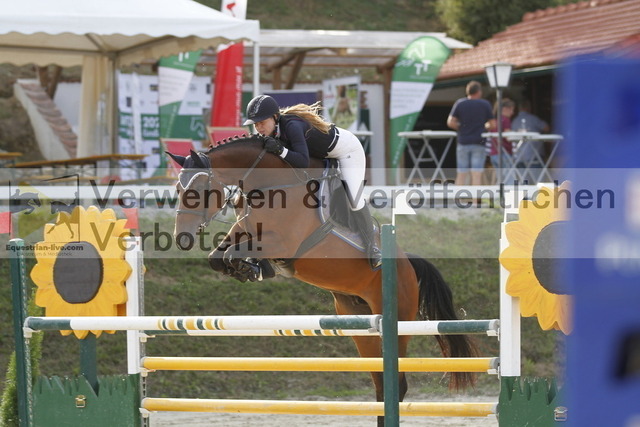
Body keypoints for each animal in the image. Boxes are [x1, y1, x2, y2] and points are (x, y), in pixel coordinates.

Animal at [169, 134, 477, 426]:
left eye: (199, 190)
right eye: (178, 190)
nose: (182, 238)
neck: (268, 186)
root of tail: (407, 265)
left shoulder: (283, 242)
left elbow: (235, 253)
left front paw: (251, 267)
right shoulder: (244, 231)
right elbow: (218, 256)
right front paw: (249, 269)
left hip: (398, 322)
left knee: (396, 384)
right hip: (360, 327)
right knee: (381, 384)